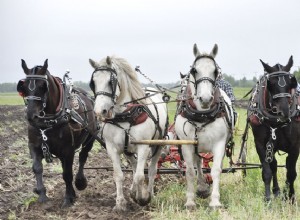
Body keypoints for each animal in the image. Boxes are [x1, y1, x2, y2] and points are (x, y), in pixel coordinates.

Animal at [16, 59, 97, 208]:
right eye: (22, 87)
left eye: (43, 86)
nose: (31, 116)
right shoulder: (34, 146)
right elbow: (37, 168)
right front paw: (42, 194)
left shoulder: (68, 150)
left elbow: (67, 174)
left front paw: (68, 198)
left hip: (90, 138)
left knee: (83, 157)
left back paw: (80, 182)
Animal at [88, 55, 169, 212]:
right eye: (93, 83)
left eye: (110, 81)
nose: (100, 112)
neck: (125, 115)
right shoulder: (112, 148)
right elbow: (118, 175)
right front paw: (120, 203)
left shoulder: (143, 146)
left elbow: (140, 176)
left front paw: (142, 198)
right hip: (128, 150)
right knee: (134, 165)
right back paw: (133, 191)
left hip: (157, 145)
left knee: (151, 170)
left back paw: (149, 193)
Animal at [173, 43, 234, 209]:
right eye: (194, 70)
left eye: (215, 71)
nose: (205, 99)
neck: (201, 115)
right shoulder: (187, 144)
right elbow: (190, 172)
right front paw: (190, 201)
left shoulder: (219, 143)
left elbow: (216, 170)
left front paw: (215, 201)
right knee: (198, 164)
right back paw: (201, 188)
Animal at [248, 55, 300, 203]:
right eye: (270, 83)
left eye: (291, 82)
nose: (284, 112)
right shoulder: (261, 144)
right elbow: (267, 171)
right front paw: (268, 198)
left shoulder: (295, 146)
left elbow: (291, 172)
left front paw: (290, 196)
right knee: (274, 166)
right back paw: (276, 191)